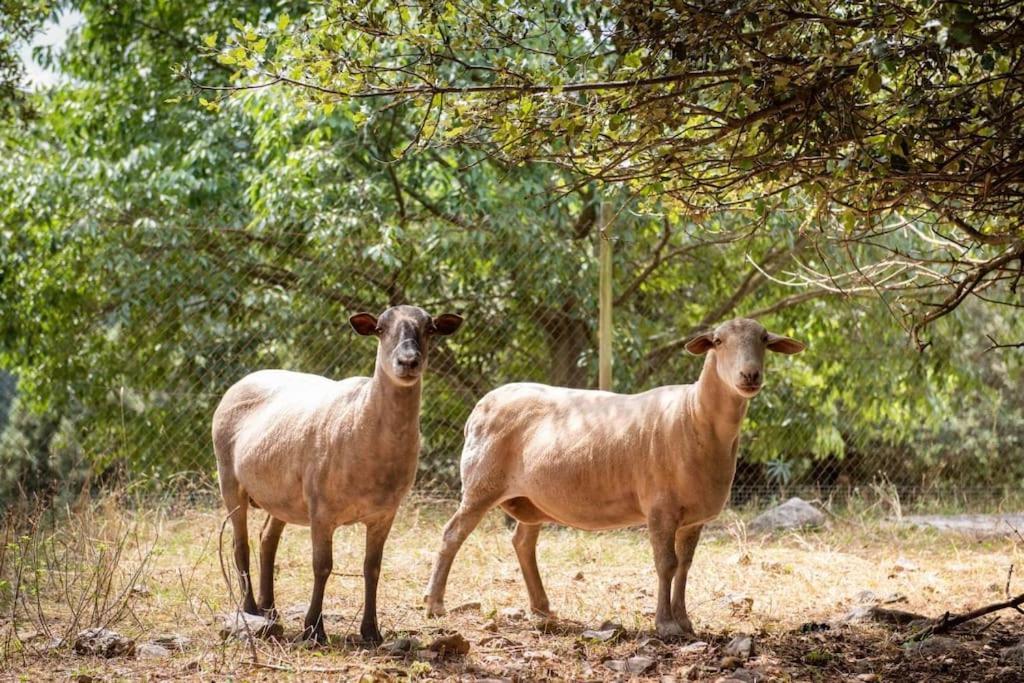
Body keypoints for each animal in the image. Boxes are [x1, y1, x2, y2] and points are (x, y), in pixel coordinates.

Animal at [216, 307, 464, 643]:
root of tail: (243, 380)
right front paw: (313, 629)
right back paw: (251, 609)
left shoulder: (385, 514)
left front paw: (371, 631)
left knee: (267, 539)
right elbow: (322, 566)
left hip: (281, 495)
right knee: (239, 545)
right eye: (381, 328)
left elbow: (372, 568)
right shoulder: (321, 508)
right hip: (229, 476)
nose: (408, 361)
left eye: (430, 328)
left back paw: (270, 610)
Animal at [421, 317, 798, 638]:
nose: (750, 375)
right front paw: (666, 624)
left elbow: (686, 566)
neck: (694, 414)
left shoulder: (693, 517)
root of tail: (481, 405)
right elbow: (666, 564)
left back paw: (542, 608)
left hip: (532, 498)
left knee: (523, 543)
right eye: (718, 341)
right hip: (481, 483)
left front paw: (685, 620)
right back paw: (435, 604)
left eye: (765, 340)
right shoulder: (660, 506)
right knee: (452, 535)